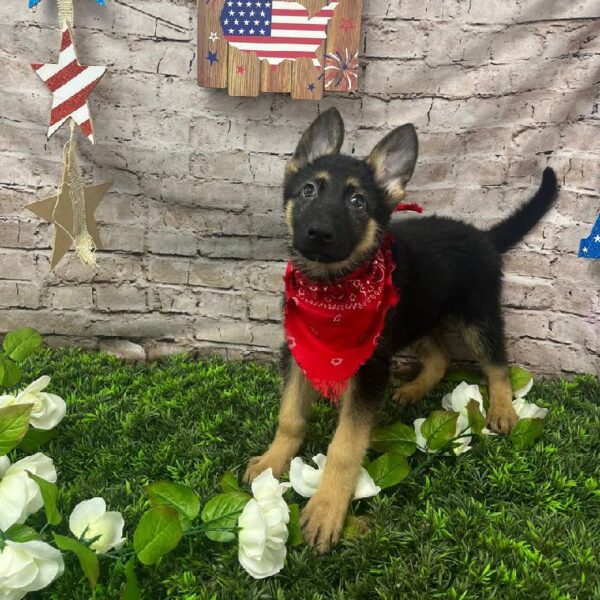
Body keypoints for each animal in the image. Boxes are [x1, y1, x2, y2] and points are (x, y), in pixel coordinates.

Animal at [243, 108, 556, 552]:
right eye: (307, 190)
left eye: (357, 201)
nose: (318, 233)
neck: (332, 290)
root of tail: (482, 235)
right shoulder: (298, 351)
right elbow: (290, 416)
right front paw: (273, 462)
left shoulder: (371, 370)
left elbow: (345, 446)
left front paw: (326, 508)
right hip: (415, 316)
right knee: (441, 355)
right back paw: (414, 389)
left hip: (476, 316)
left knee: (496, 364)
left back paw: (502, 409)